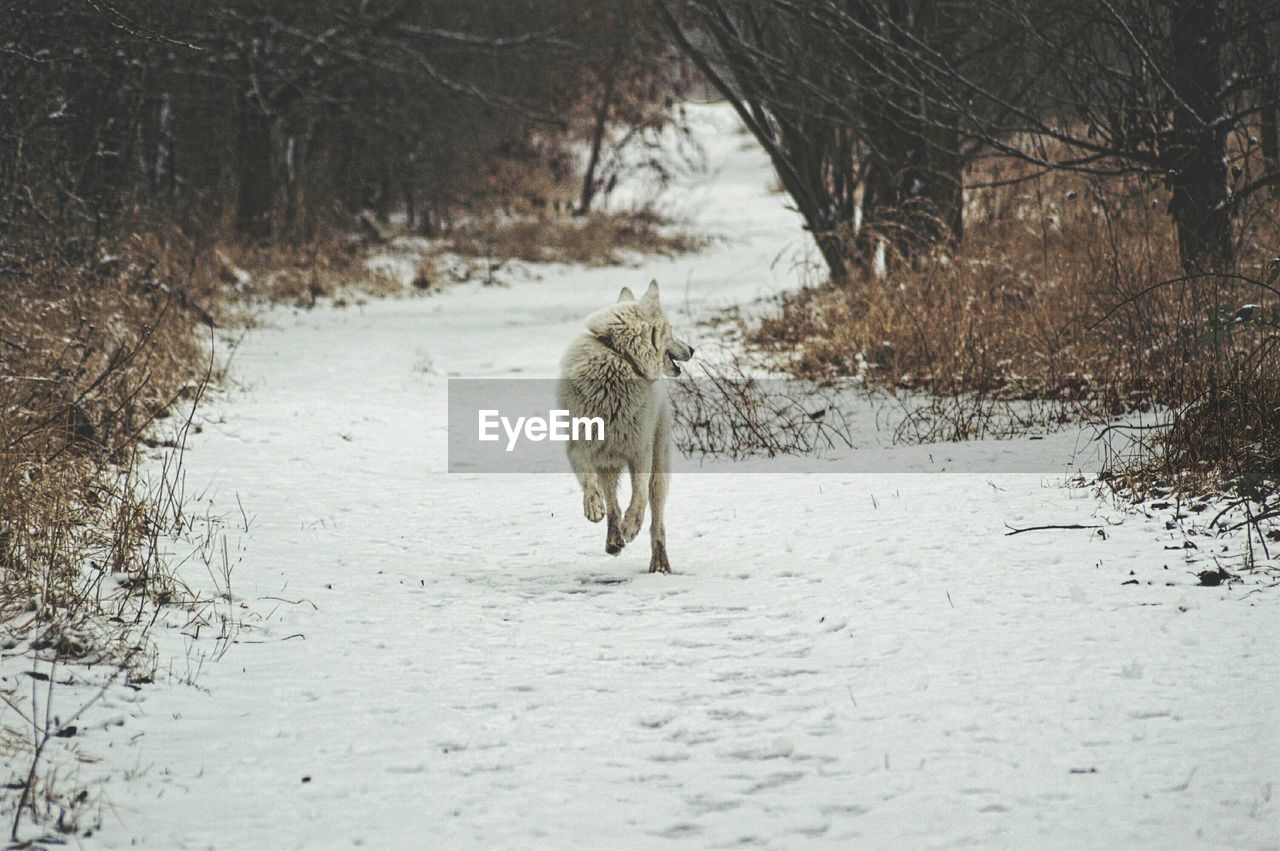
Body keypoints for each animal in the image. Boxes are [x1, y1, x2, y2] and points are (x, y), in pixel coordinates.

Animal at [558, 278, 696, 570]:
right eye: (671, 330)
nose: (692, 349)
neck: (618, 357)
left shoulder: (639, 451)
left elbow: (639, 496)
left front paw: (632, 526)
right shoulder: (579, 447)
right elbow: (589, 483)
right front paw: (593, 507)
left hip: (659, 468)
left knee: (657, 520)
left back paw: (659, 563)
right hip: (607, 463)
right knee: (612, 503)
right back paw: (614, 540)